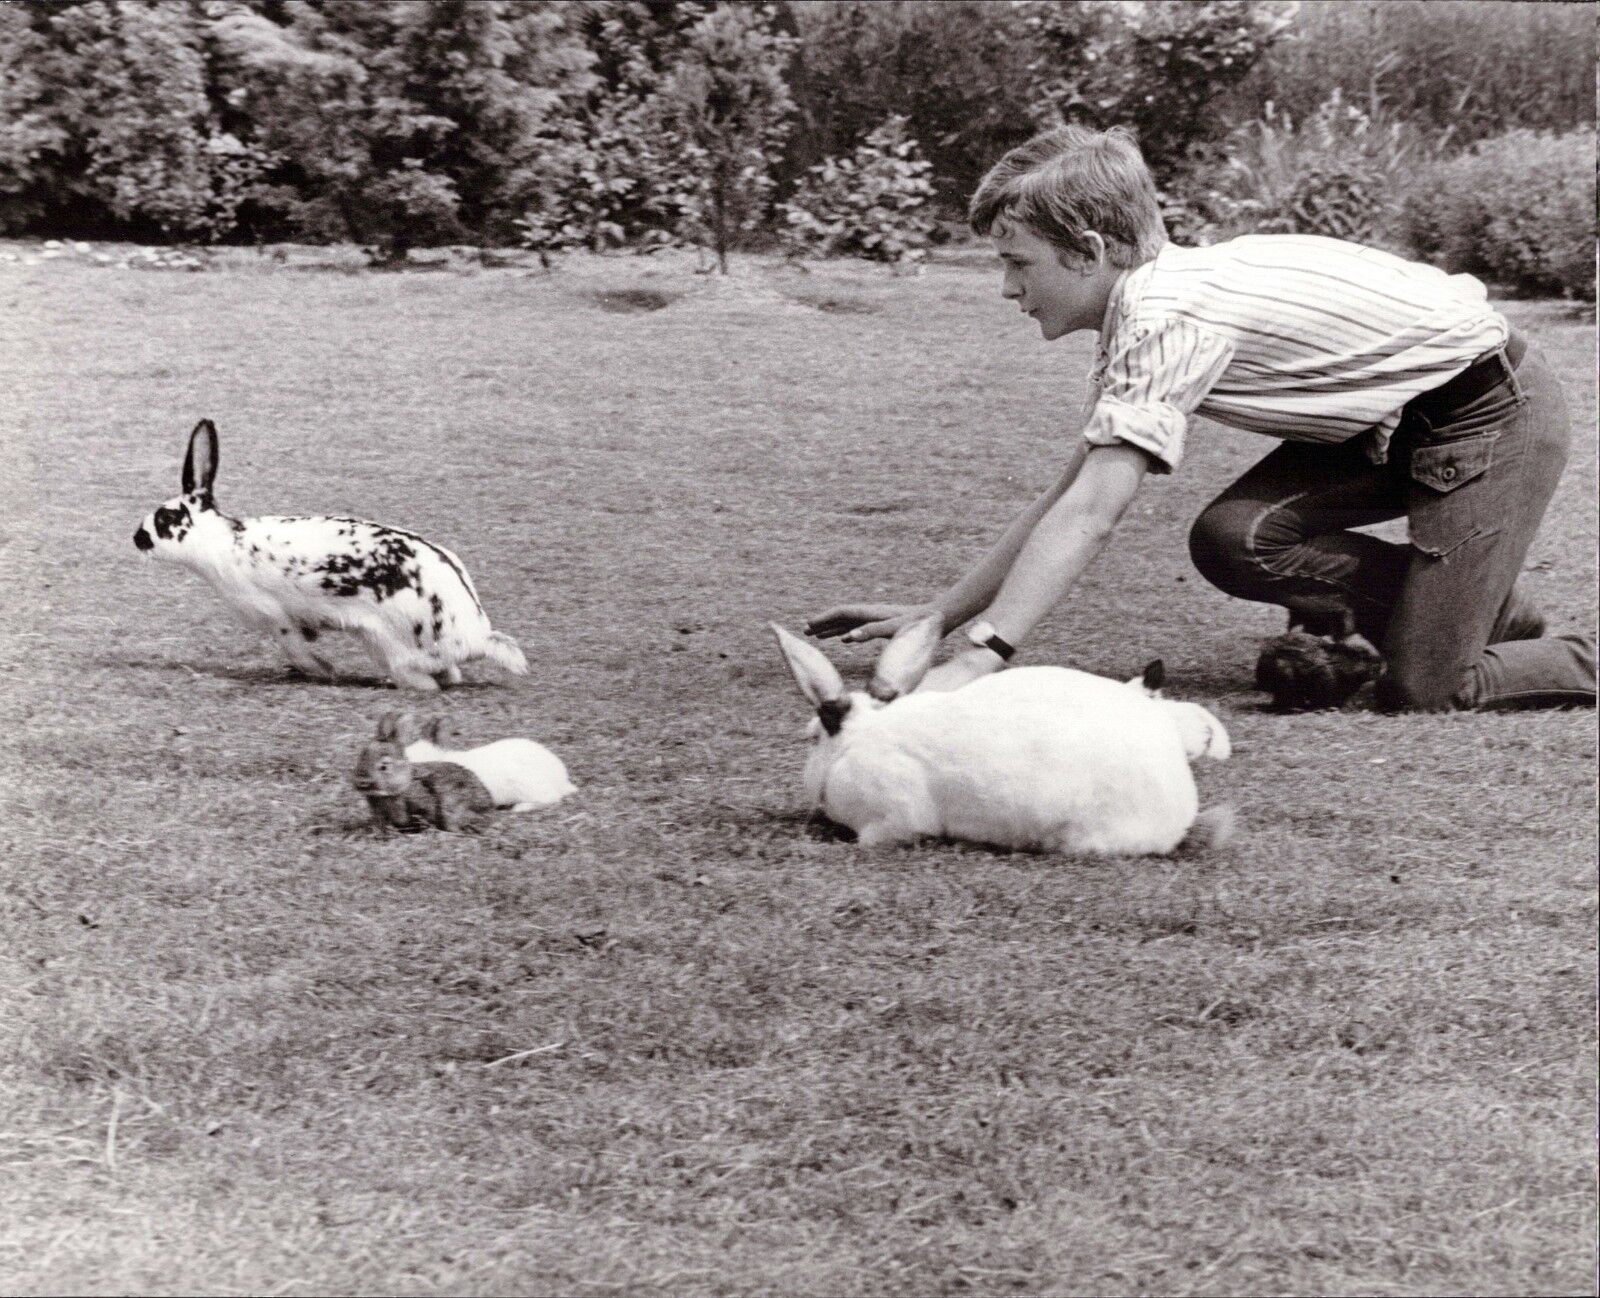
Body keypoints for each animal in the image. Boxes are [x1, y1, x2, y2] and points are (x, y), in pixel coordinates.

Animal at [134, 422, 528, 691]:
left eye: (165, 520)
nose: (137, 538)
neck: (221, 541)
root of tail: (476, 636)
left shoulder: (277, 618)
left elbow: (295, 646)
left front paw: (323, 670)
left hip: (387, 644)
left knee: (425, 682)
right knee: (449, 676)